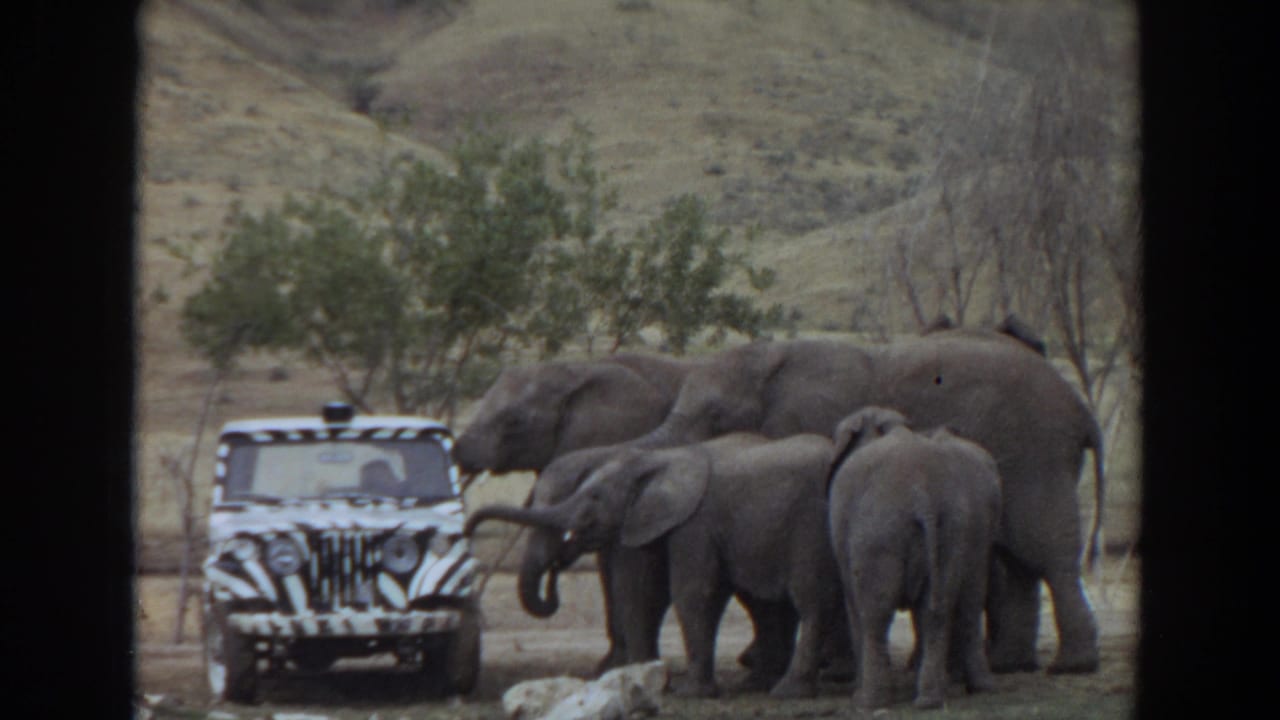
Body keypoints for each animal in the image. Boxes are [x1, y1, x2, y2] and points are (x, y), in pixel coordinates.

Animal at [466, 433, 846, 699]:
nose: (467, 530)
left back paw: (788, 691)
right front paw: (644, 681)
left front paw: (687, 693)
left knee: (812, 600)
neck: (651, 460)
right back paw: (765, 683)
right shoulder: (643, 522)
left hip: (811, 524)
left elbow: (692, 593)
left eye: (594, 497)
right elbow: (642, 591)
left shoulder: (694, 524)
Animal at [628, 328, 1106, 674]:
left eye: (715, 416)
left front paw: (835, 670)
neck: (773, 359)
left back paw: (1071, 667)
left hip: (1036, 453)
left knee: (1047, 553)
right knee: (1022, 563)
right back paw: (1011, 666)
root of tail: (1081, 408)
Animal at [827, 407, 1002, 710]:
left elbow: (854, 602)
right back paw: (934, 698)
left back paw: (868, 702)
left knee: (875, 613)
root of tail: (923, 496)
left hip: (878, 534)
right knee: (940, 610)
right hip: (952, 530)